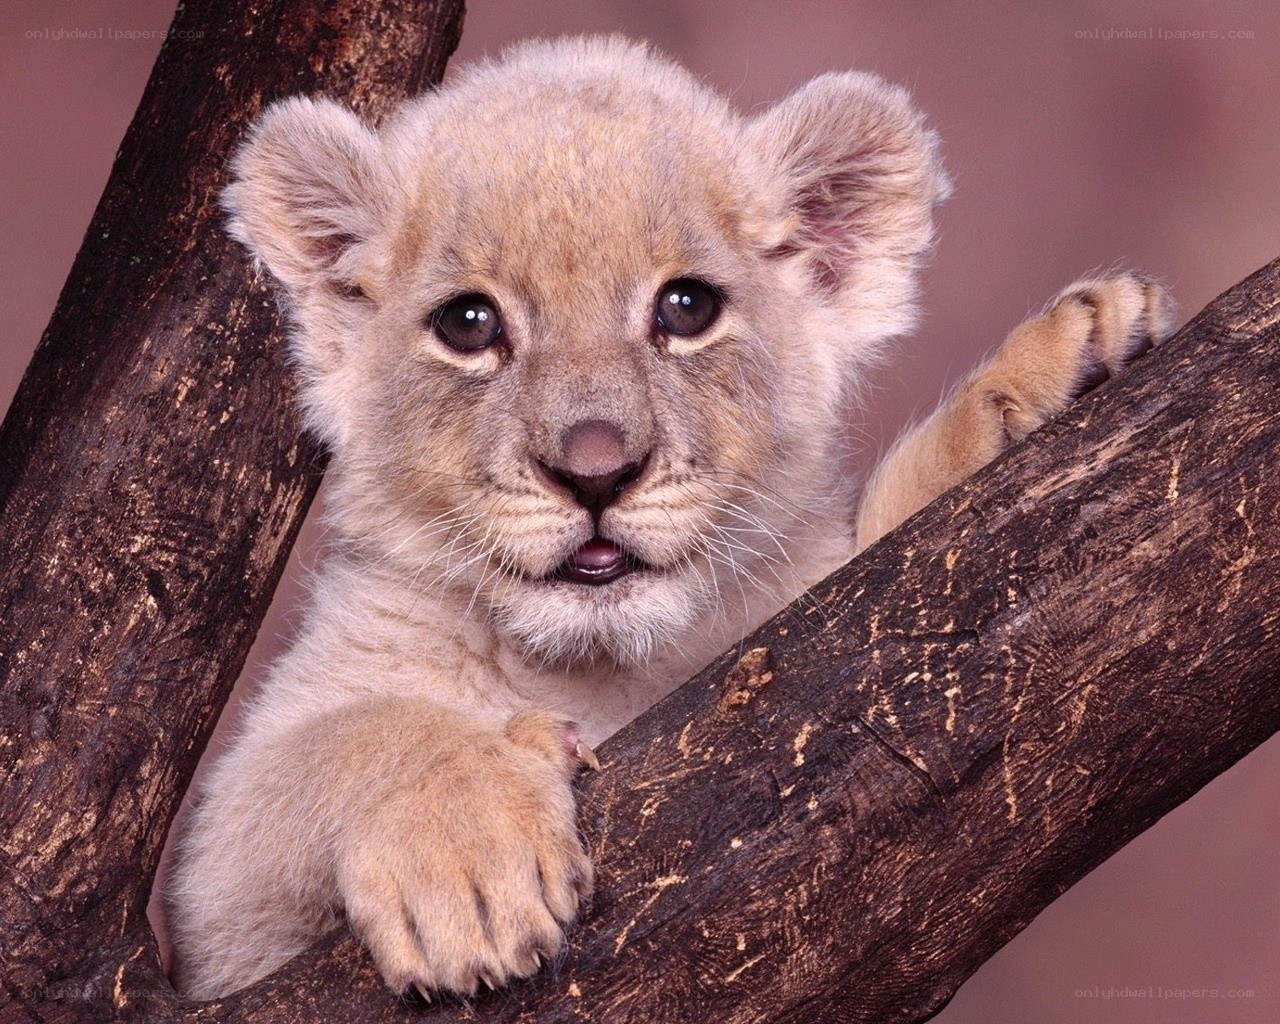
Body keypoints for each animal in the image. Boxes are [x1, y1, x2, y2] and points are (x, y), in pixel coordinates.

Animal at [165, 35, 1175, 1000]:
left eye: (686, 308)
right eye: (468, 324)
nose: (595, 471)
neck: (604, 669)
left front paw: (1050, 375)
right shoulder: (221, 921)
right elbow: (349, 740)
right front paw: (471, 863)